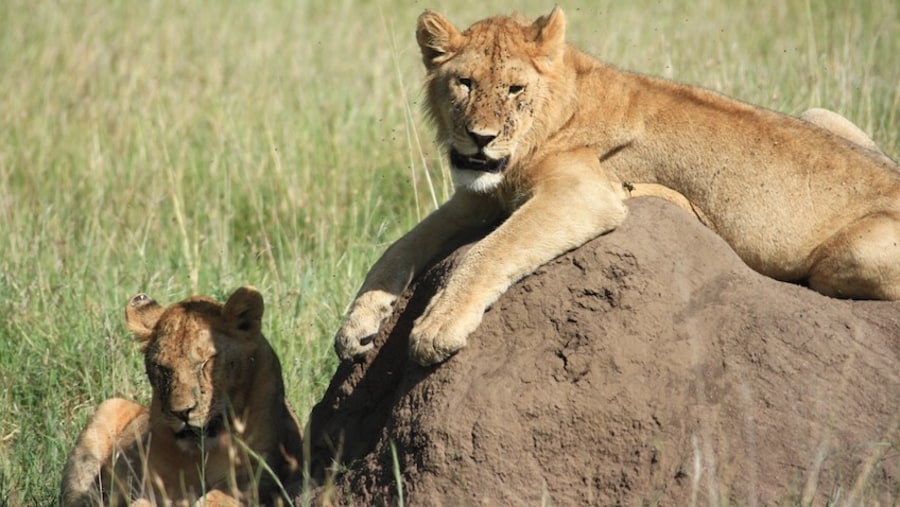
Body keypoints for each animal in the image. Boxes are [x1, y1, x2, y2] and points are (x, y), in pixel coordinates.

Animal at [62, 288, 306, 506]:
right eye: (161, 368)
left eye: (206, 362)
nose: (182, 412)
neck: (202, 452)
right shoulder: (157, 486)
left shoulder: (254, 476)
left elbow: (214, 500)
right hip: (107, 410)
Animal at [336, 6, 900, 366]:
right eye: (465, 83)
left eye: (515, 88)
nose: (481, 137)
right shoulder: (481, 195)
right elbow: (399, 246)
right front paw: (356, 326)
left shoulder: (583, 192)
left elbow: (489, 251)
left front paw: (437, 326)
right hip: (820, 113)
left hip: (853, 252)